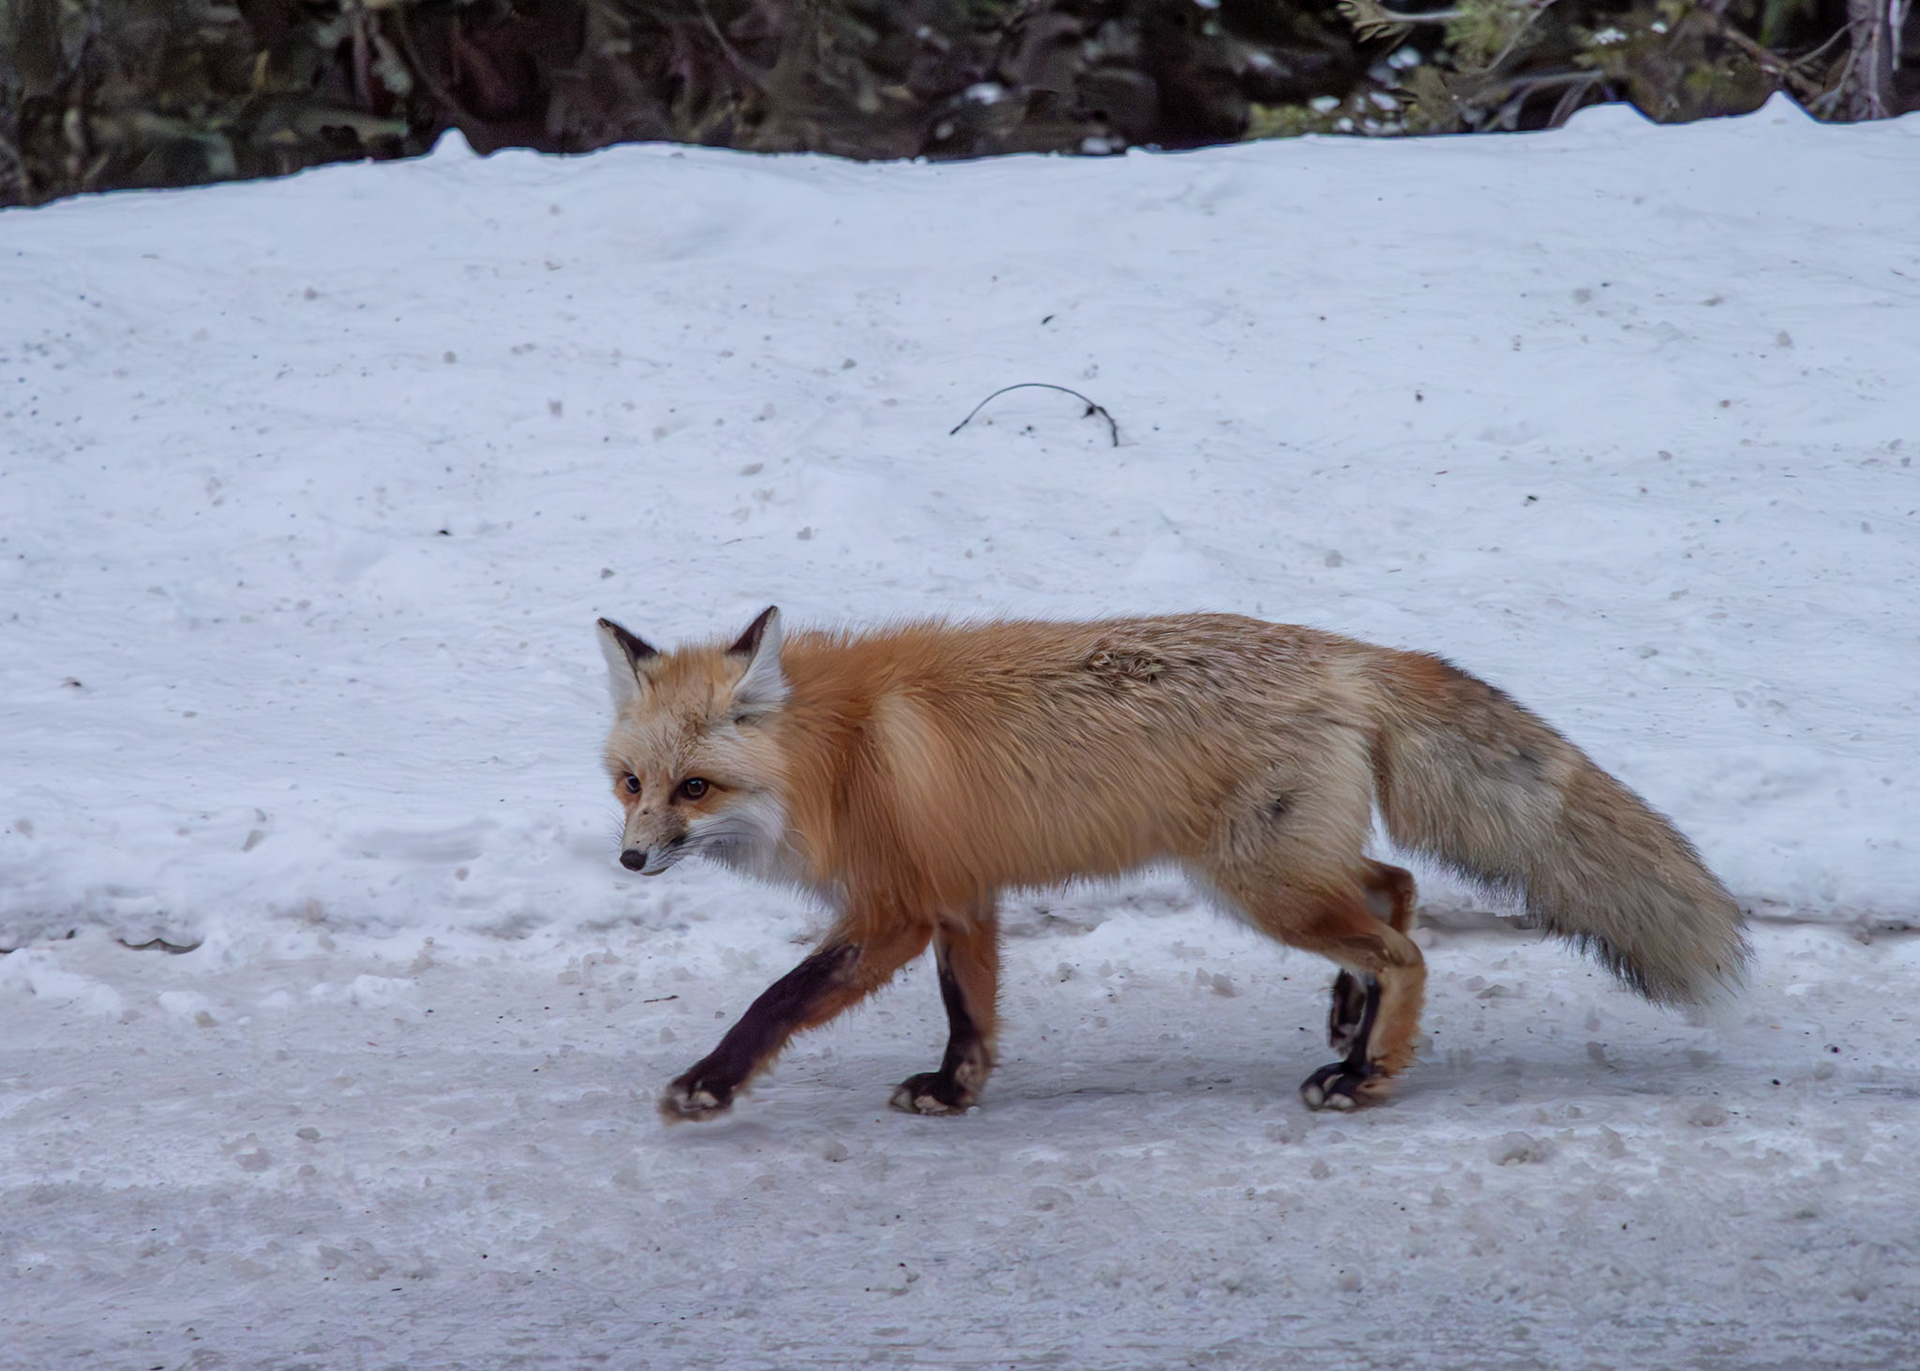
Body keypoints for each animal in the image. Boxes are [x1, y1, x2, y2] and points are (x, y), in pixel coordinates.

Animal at [597, 607, 1747, 1121]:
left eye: (694, 788)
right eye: (630, 782)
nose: (630, 858)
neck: (837, 756)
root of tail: (1345, 651)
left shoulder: (898, 908)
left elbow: (778, 999)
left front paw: (708, 1083)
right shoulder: (962, 896)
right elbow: (971, 1012)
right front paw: (956, 1089)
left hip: (1260, 885)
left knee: (1405, 943)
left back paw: (1369, 1071)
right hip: (1284, 871)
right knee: (1398, 891)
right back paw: (1350, 1020)